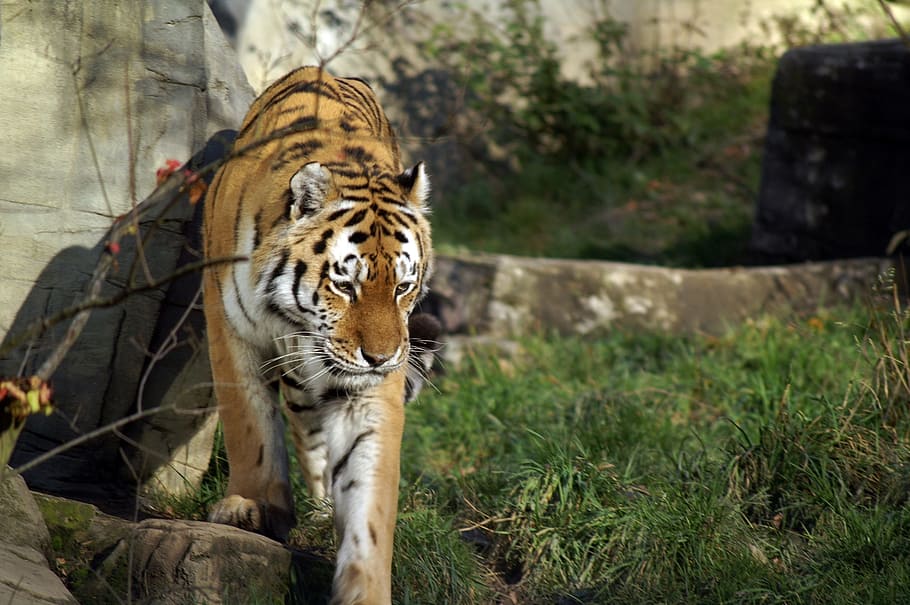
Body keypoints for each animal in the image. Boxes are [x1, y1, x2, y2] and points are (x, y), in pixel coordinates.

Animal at [202, 66, 436, 605]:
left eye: (403, 287)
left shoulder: (370, 391)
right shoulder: (229, 329)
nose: (380, 357)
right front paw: (251, 507)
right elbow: (249, 423)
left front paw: (365, 586)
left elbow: (370, 497)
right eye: (345, 285)